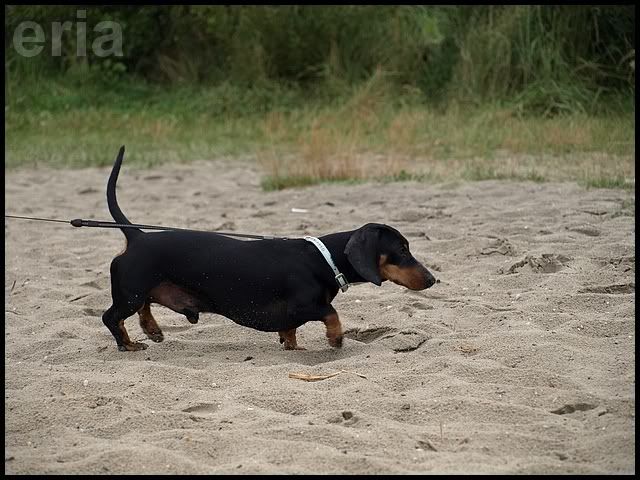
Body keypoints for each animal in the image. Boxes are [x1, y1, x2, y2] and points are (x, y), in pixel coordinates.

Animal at [102, 146, 437, 351]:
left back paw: (152, 329)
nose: (433, 280)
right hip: (130, 292)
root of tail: (138, 237)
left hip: (139, 289)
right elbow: (332, 313)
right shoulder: (304, 306)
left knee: (143, 306)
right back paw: (128, 344)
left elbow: (290, 334)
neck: (323, 259)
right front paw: (336, 338)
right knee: (111, 317)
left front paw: (295, 347)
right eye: (403, 250)